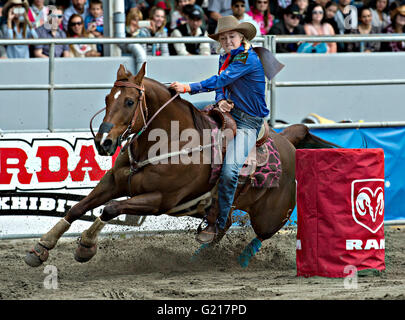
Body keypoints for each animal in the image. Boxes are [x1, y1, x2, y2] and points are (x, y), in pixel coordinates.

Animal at [23, 62, 336, 268]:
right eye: (107, 98)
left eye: (129, 101)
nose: (104, 142)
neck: (168, 142)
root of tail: (288, 142)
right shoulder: (113, 182)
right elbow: (78, 207)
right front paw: (41, 247)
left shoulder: (159, 200)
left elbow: (109, 210)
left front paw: (86, 246)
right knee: (220, 226)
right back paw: (200, 257)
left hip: (272, 215)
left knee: (259, 235)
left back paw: (240, 260)